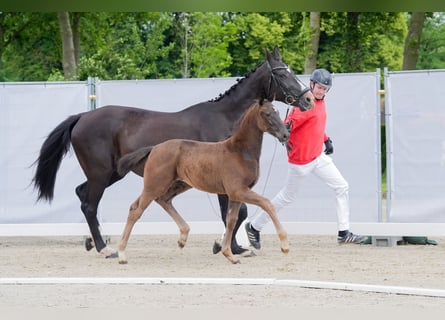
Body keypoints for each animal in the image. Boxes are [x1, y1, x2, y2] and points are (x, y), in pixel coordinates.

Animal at [115, 101, 288, 264]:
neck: (240, 151)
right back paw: (122, 254)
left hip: (176, 184)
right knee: (137, 210)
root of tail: (154, 148)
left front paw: (230, 255)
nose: (285, 134)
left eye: (278, 112)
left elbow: (231, 221)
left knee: (160, 200)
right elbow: (267, 204)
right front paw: (285, 246)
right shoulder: (238, 190)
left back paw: (182, 238)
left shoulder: (236, 194)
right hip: (155, 184)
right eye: (267, 113)